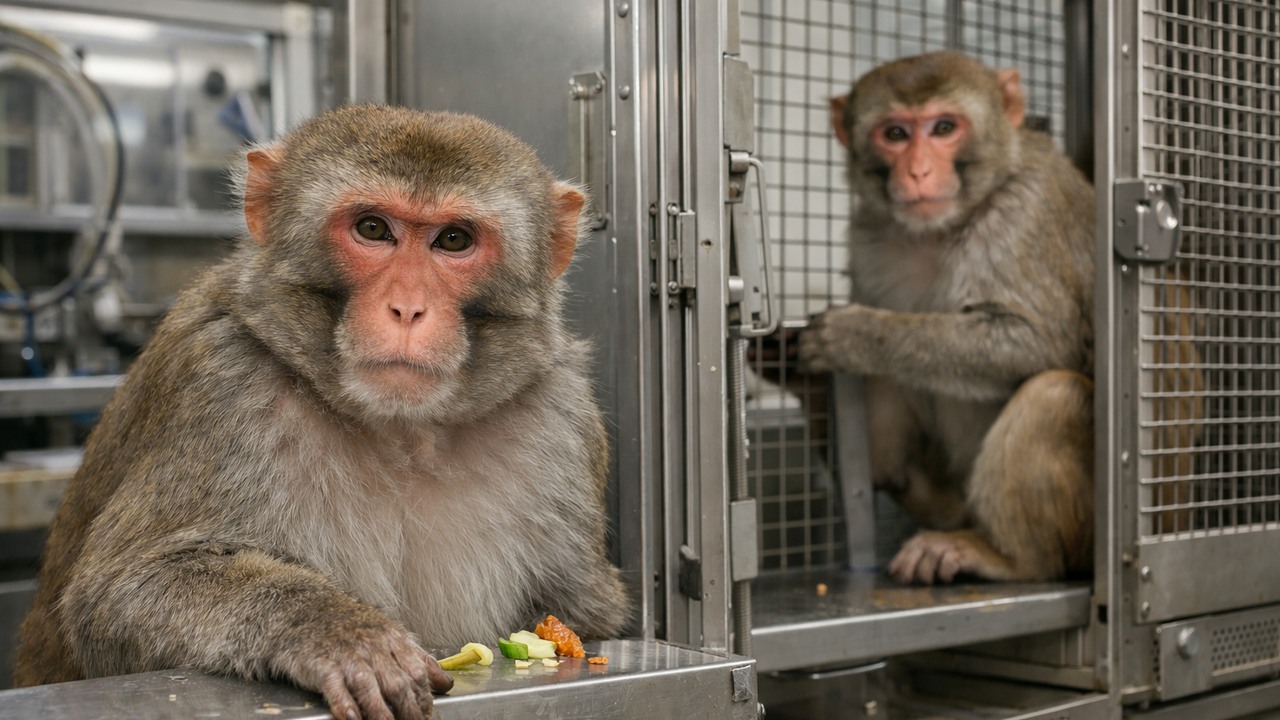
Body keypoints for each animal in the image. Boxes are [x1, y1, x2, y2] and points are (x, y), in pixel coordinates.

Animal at [12, 105, 629, 720]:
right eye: (373, 229)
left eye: (454, 239)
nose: (408, 308)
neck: (401, 429)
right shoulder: (220, 384)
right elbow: (123, 589)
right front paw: (337, 632)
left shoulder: (563, 414)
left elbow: (585, 613)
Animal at [795, 51, 1099, 585]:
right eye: (895, 134)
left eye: (943, 128)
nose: (917, 171)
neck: (940, 229)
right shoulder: (868, 235)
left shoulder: (1023, 215)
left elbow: (1041, 341)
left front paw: (855, 336)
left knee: (1054, 393)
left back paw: (1009, 557)